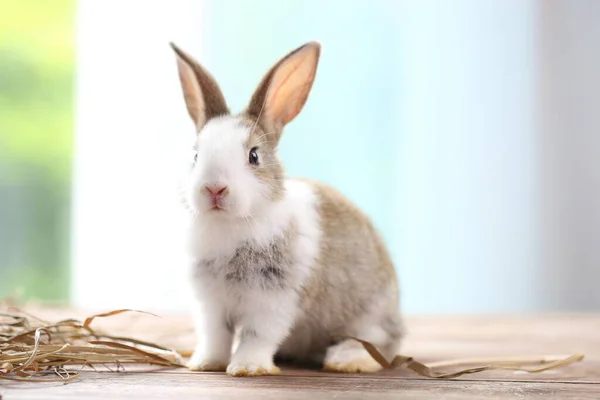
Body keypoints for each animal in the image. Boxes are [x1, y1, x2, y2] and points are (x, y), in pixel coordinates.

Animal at [170, 39, 404, 376]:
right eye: (196, 156)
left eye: (254, 156)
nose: (214, 189)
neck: (232, 223)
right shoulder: (211, 305)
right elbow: (216, 337)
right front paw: (205, 364)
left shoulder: (273, 301)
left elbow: (257, 336)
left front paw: (247, 367)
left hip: (371, 317)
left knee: (380, 344)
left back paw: (346, 360)